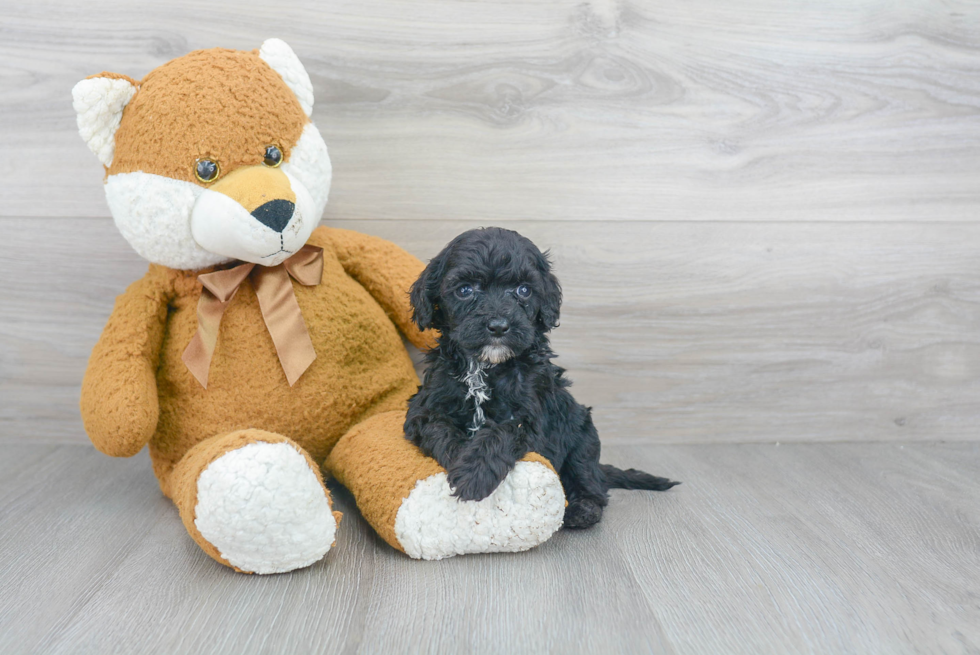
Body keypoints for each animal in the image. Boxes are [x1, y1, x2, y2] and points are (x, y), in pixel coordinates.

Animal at [402, 228, 676, 532]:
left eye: (524, 290)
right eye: (464, 290)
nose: (498, 326)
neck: (485, 367)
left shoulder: (534, 418)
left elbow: (503, 432)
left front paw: (476, 473)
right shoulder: (424, 407)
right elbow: (438, 427)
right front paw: (461, 456)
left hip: (583, 436)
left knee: (590, 480)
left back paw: (583, 510)